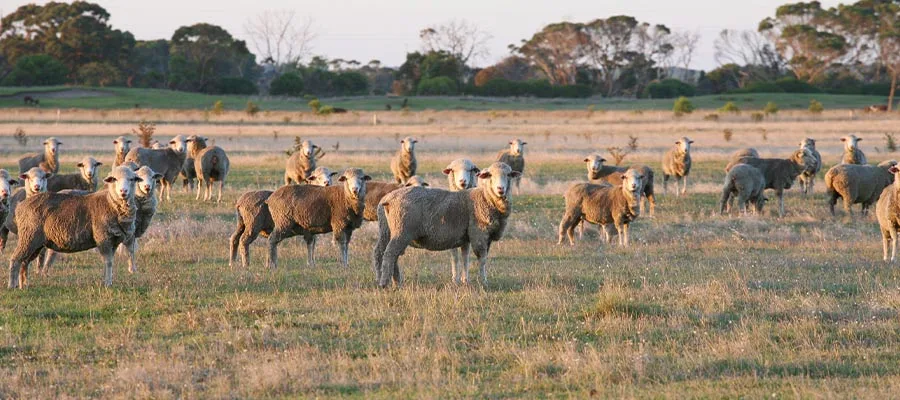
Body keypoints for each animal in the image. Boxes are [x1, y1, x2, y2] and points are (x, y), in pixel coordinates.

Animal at [7, 166, 142, 288]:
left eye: (132, 179)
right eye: (114, 179)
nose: (123, 191)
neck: (110, 203)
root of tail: (20, 206)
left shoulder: (113, 241)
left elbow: (110, 262)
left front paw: (108, 281)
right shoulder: (103, 238)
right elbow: (108, 262)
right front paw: (108, 284)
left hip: (35, 242)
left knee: (25, 262)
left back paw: (24, 285)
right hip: (29, 236)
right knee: (15, 259)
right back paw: (12, 286)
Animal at [372, 162, 521, 287]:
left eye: (508, 175)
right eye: (490, 175)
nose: (500, 189)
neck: (486, 198)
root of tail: (388, 199)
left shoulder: (481, 237)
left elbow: (471, 257)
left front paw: (470, 281)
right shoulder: (479, 233)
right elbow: (482, 258)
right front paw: (484, 282)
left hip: (386, 229)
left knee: (383, 252)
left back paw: (394, 281)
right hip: (401, 230)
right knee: (390, 253)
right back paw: (385, 283)